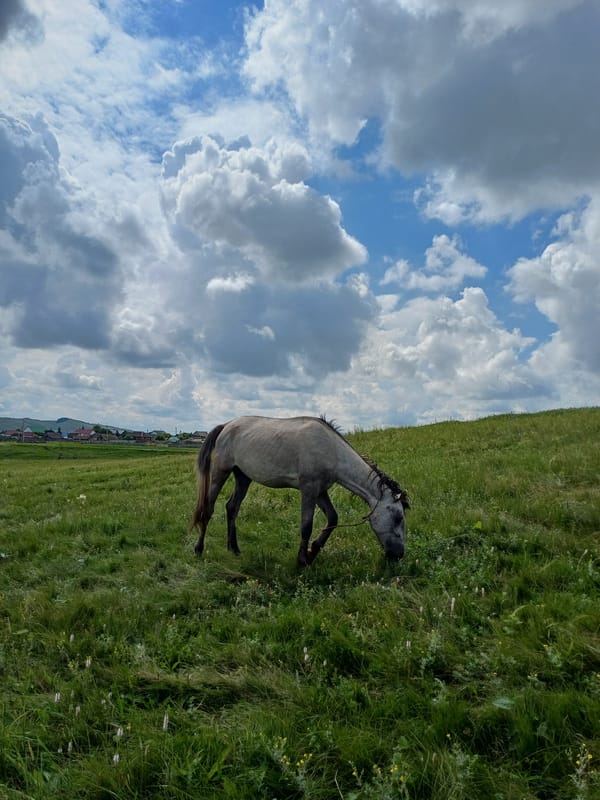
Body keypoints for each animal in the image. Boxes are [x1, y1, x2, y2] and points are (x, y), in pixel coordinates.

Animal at [191, 415, 409, 566]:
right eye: (398, 517)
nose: (399, 555)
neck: (331, 450)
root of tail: (226, 425)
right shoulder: (309, 489)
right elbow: (306, 525)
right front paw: (302, 560)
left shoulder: (320, 491)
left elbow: (333, 518)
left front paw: (313, 551)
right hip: (220, 472)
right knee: (208, 509)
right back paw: (199, 549)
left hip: (243, 477)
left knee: (232, 508)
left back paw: (234, 549)